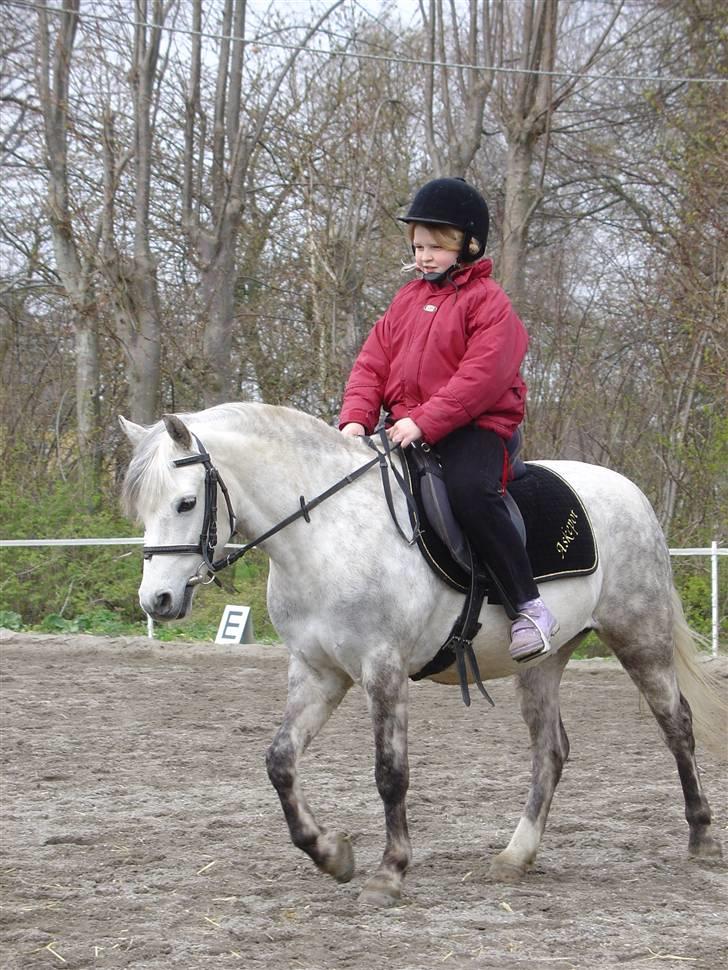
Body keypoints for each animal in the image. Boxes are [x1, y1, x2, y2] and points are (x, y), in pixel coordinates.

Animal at [119, 401, 725, 907]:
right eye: (142, 509)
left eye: (186, 502)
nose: (158, 600)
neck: (327, 535)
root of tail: (628, 491)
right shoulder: (318, 673)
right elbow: (280, 762)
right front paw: (332, 855)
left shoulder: (382, 668)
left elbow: (390, 773)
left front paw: (389, 873)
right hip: (542, 663)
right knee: (551, 751)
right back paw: (516, 855)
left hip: (638, 635)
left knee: (676, 726)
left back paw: (701, 837)